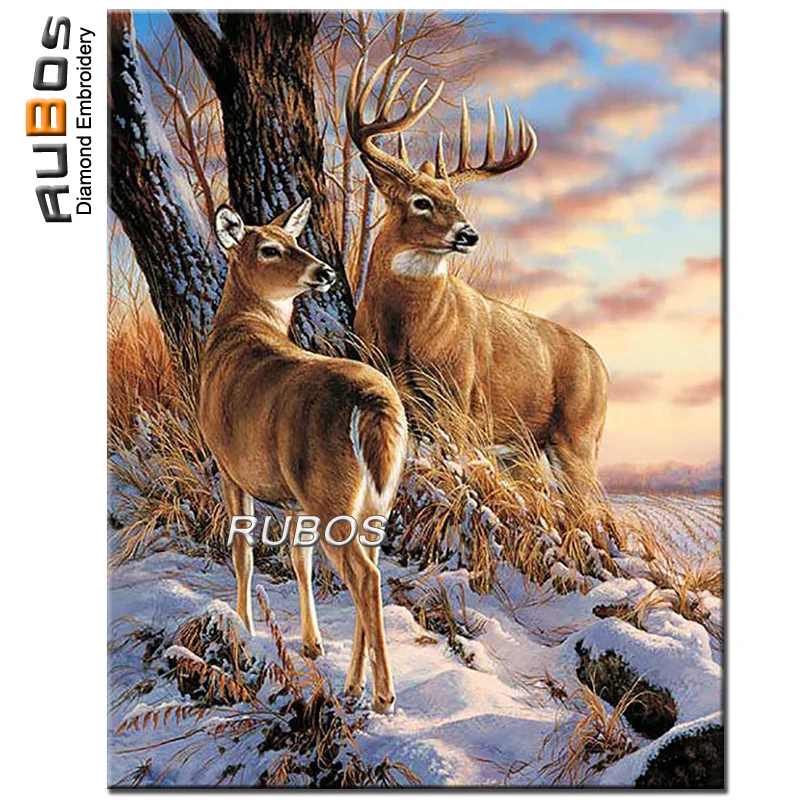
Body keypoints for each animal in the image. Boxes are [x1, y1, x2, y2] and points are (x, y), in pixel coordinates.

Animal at [198, 199, 408, 713]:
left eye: (295, 240)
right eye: (270, 248)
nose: (326, 270)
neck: (239, 330)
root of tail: (373, 402)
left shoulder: (228, 466)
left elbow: (243, 553)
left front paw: (245, 630)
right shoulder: (293, 498)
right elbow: (299, 558)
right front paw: (311, 644)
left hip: (331, 495)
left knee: (365, 577)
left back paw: (383, 695)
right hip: (376, 499)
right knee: (369, 570)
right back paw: (353, 686)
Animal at [347, 56, 609, 501]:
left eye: (455, 200)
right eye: (421, 202)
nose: (469, 234)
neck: (406, 331)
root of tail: (604, 370)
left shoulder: (458, 397)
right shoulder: (392, 388)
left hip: (579, 434)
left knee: (593, 507)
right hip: (523, 446)